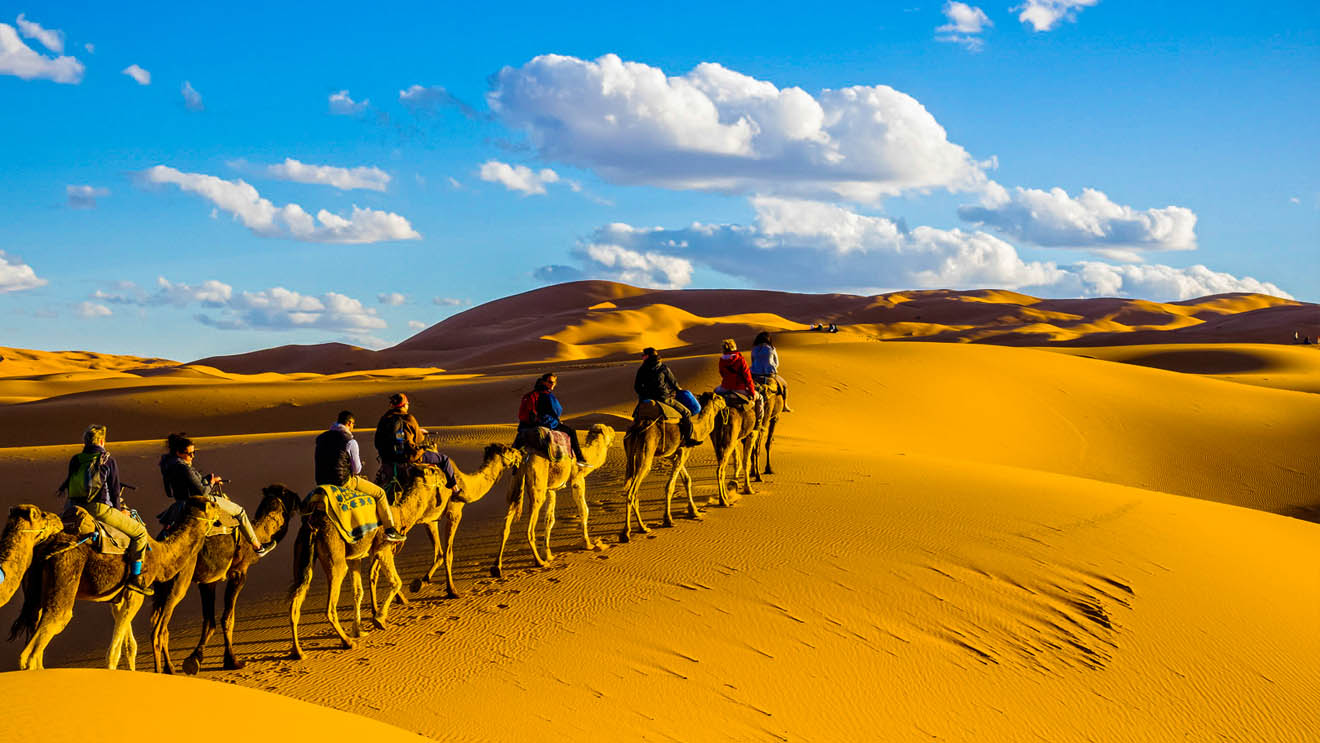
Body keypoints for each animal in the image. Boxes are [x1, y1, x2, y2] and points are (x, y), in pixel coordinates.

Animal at [10, 496, 220, 670]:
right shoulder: (136, 593)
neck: (160, 556)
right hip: (65, 573)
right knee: (51, 627)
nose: (220, 510)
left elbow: (130, 647)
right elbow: (114, 653)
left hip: (35, 595)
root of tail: (44, 547)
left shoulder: (120, 599)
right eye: (212, 504)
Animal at [151, 485, 300, 675]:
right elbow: (228, 618)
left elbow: (210, 621)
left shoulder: (208, 582)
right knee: (160, 630)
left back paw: (169, 668)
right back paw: (162, 671)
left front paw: (195, 659)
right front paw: (232, 661)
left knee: (161, 627)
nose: (300, 501)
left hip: (161, 587)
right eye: (288, 494)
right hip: (179, 581)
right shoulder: (239, 573)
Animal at [289, 467, 454, 659]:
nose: (446, 478)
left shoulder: (355, 557)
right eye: (434, 471)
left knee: (296, 601)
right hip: (335, 560)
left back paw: (298, 651)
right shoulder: (383, 547)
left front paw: (358, 630)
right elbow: (396, 582)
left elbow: (358, 592)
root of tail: (312, 525)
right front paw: (379, 620)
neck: (399, 513)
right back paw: (347, 642)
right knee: (329, 607)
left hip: (303, 558)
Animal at [496, 424, 617, 575]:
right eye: (609, 431)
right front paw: (587, 543)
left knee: (505, 525)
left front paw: (547, 553)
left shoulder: (551, 489)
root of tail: (524, 456)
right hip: (536, 487)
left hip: (515, 484)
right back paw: (539, 562)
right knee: (529, 528)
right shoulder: (577, 479)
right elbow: (584, 510)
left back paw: (497, 567)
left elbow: (549, 519)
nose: (615, 435)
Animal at [620, 393, 728, 543]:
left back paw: (643, 528)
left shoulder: (674, 454)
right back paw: (626, 533)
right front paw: (668, 519)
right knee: (632, 492)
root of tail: (637, 428)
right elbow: (670, 486)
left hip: (631, 453)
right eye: (718, 397)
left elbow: (687, 480)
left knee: (633, 491)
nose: (726, 402)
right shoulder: (684, 451)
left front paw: (694, 511)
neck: (697, 430)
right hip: (646, 453)